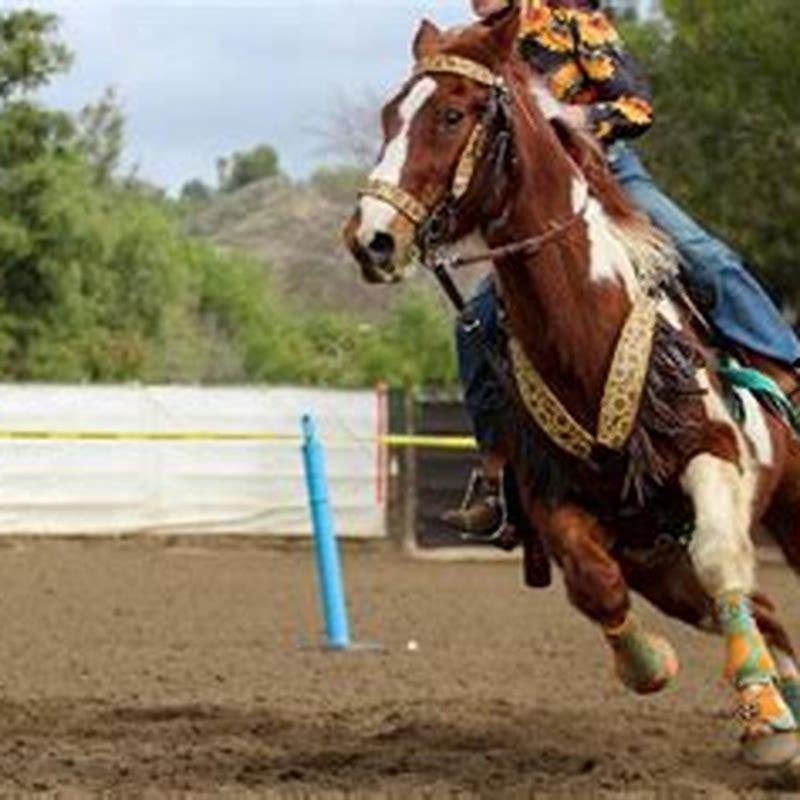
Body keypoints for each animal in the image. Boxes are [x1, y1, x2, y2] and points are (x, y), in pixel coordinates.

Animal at [343, 13, 800, 767]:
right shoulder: (552, 498)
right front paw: (652, 665)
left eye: (450, 114)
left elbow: (720, 559)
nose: (371, 238)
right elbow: (595, 587)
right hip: (656, 559)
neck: (587, 328)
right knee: (758, 615)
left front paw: (763, 722)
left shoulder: (714, 455)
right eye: (389, 115)